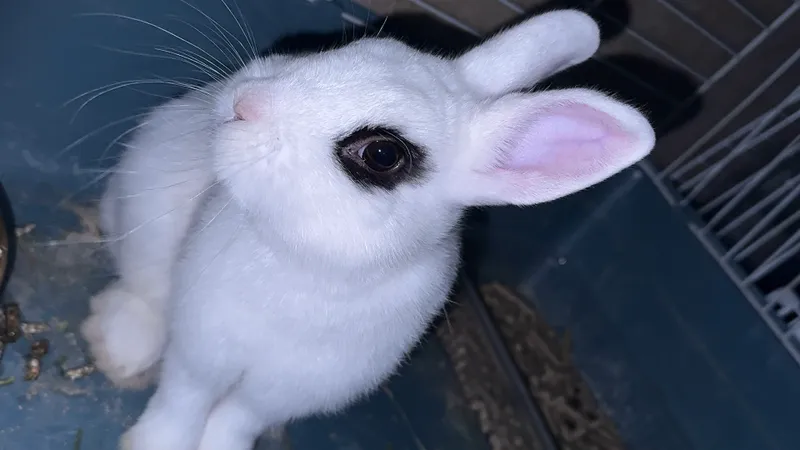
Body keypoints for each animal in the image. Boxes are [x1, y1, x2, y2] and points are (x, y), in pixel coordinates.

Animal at [79, 9, 656, 450]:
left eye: (381, 154)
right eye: (359, 46)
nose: (246, 104)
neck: (314, 269)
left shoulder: (289, 388)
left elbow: (233, 419)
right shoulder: (202, 347)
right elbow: (182, 400)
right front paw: (152, 444)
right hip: (144, 218)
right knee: (144, 291)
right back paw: (120, 347)